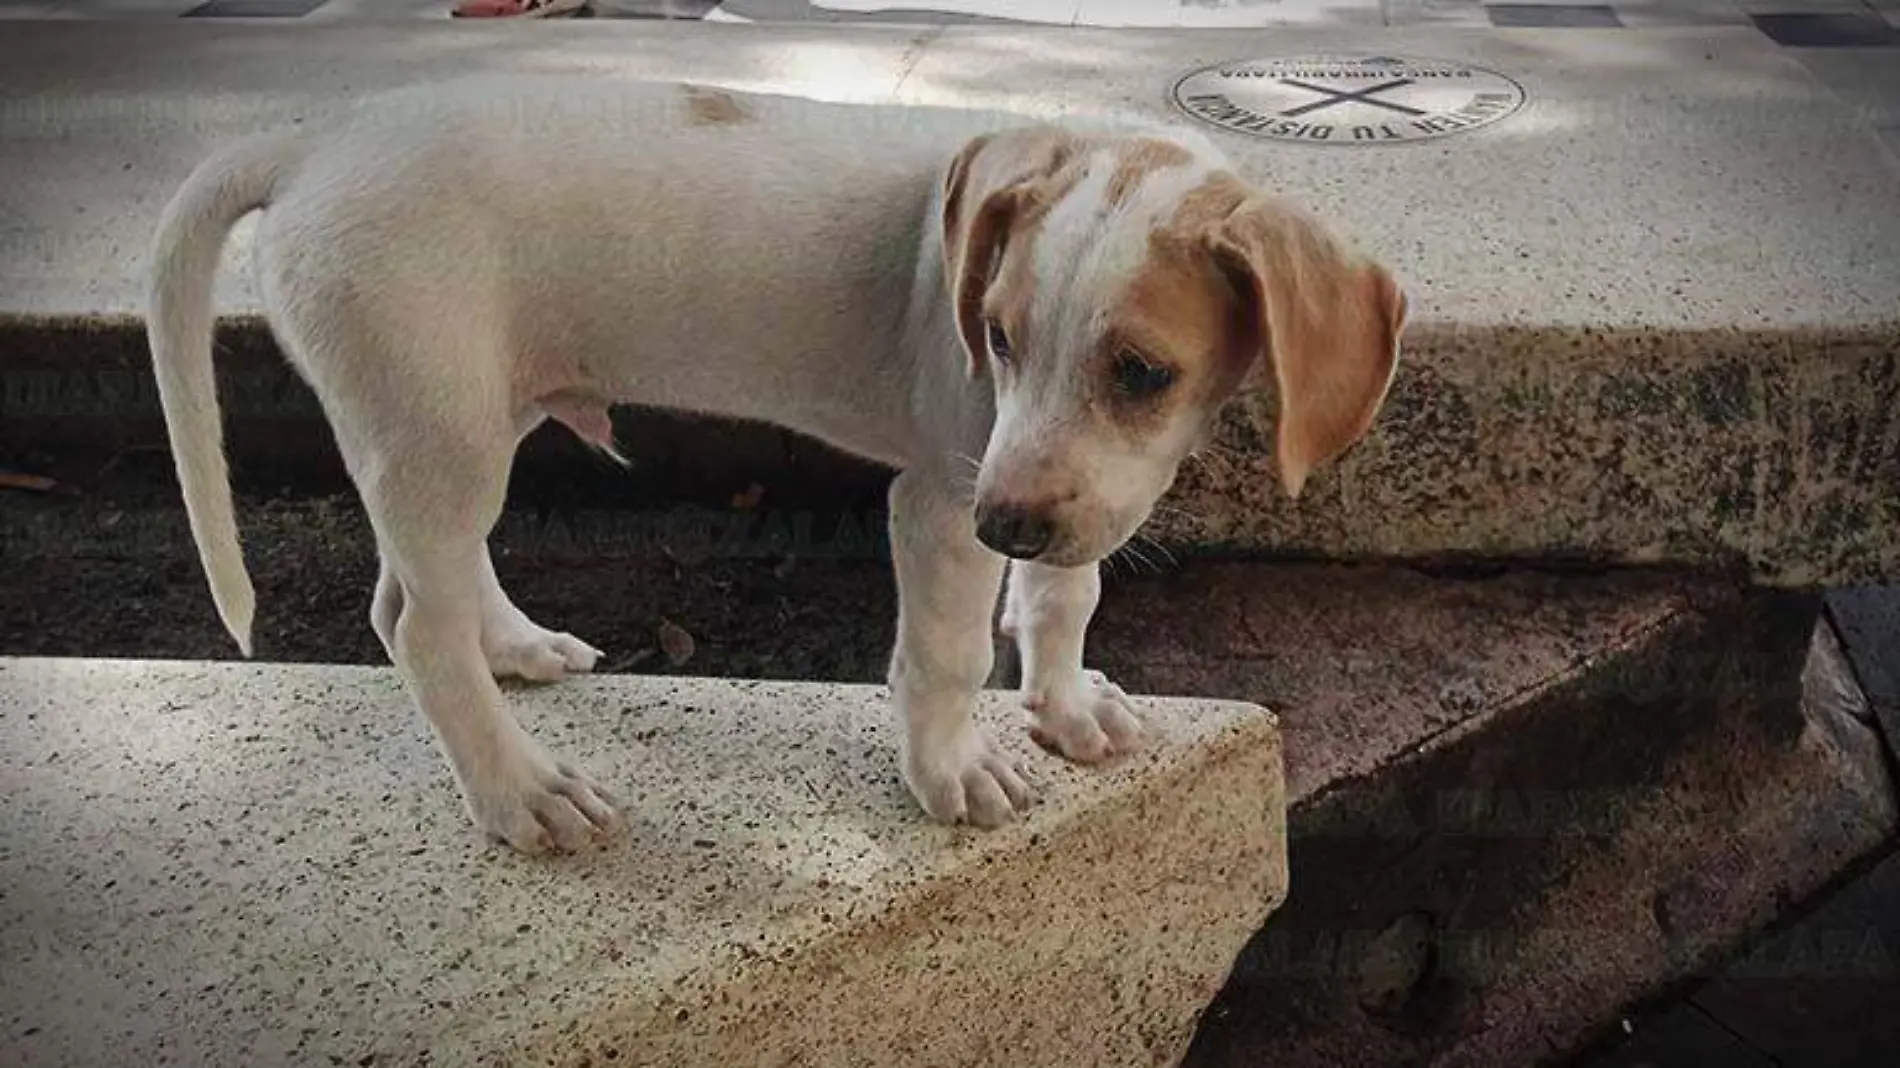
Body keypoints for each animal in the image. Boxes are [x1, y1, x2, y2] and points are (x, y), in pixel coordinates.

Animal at [144, 78, 1398, 851]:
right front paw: (953, 771)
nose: (1003, 528)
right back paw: (519, 791)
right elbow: (950, 654)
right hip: (435, 431)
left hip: (456, 422)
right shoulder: (945, 495)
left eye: (1141, 372)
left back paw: (517, 649)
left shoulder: (1059, 487)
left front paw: (1062, 703)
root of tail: (317, 140)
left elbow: (1062, 592)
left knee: (415, 590)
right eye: (994, 337)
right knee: (413, 627)